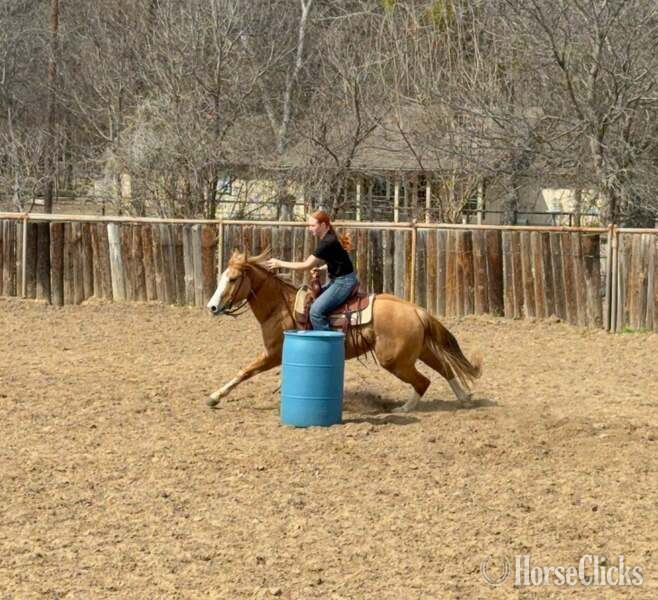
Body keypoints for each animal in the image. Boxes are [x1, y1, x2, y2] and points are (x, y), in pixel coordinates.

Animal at [206, 249, 482, 411]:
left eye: (232, 279)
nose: (212, 307)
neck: (280, 307)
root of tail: (415, 310)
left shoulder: (272, 353)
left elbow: (244, 371)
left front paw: (214, 396)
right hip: (418, 351)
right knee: (444, 368)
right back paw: (465, 398)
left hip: (395, 360)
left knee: (424, 381)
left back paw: (404, 409)